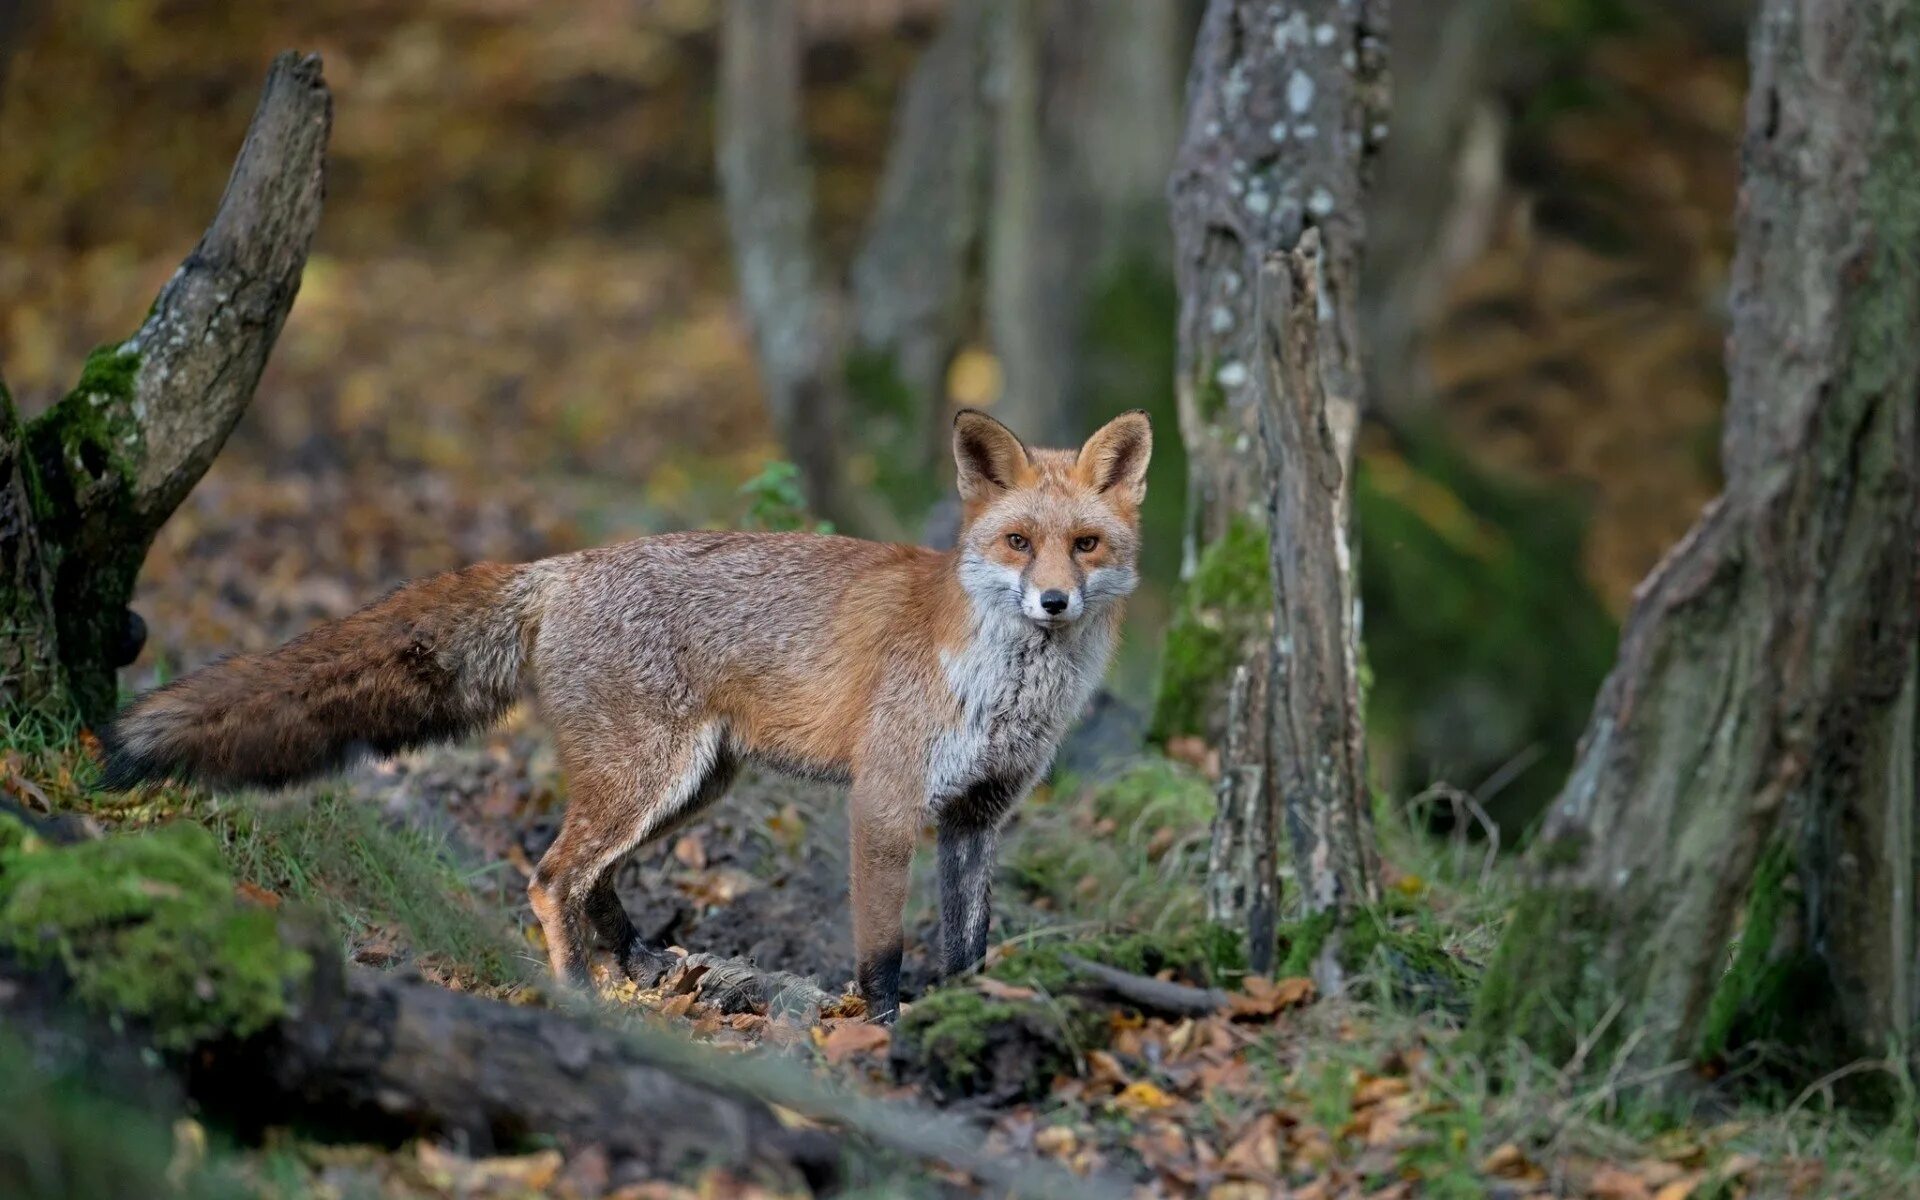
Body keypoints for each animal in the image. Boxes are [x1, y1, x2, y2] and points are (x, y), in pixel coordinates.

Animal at [101, 407, 1152, 1013]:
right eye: (1016, 542)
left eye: (1085, 546)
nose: (1053, 603)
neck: (1004, 686)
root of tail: (559, 567)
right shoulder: (885, 803)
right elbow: (883, 952)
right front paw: (886, 1033)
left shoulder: (977, 814)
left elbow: (970, 942)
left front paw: (971, 1014)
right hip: (652, 777)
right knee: (549, 876)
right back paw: (579, 991)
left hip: (689, 784)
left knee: (591, 878)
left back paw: (634, 959)